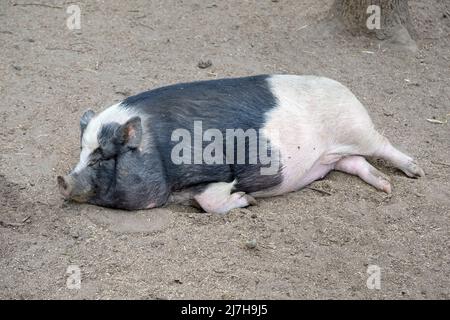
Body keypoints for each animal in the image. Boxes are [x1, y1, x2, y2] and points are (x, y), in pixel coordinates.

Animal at [57, 74, 426, 212]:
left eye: (103, 156)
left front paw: (247, 199)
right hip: (336, 155)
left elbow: (209, 198)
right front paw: (246, 199)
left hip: (358, 129)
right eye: (81, 153)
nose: (62, 179)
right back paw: (386, 187)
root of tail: (346, 88)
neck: (157, 149)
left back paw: (416, 173)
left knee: (382, 144)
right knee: (356, 163)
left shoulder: (216, 169)